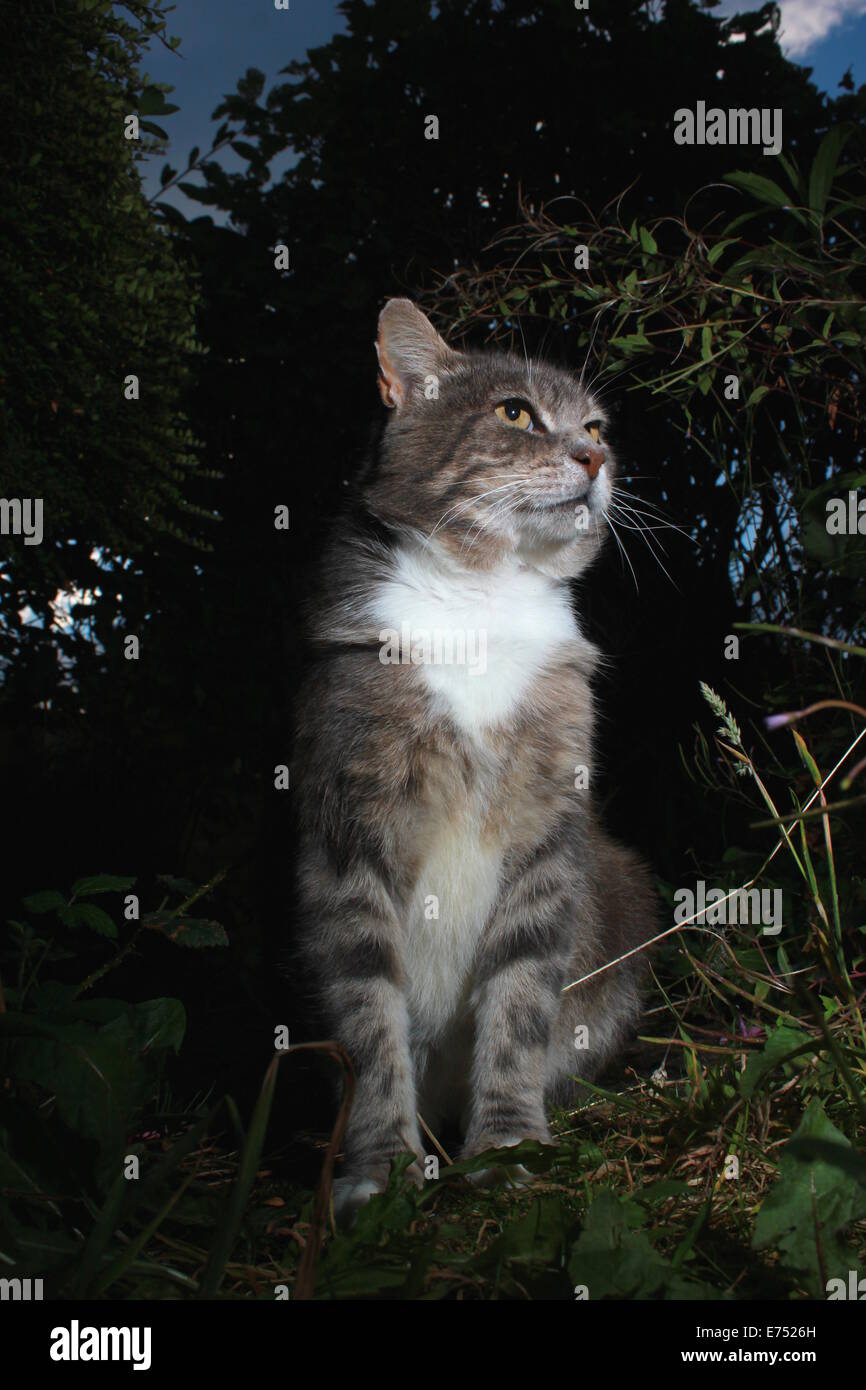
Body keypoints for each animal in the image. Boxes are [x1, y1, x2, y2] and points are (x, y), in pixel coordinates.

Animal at [294, 301, 653, 1217]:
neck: (481, 601)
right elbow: (370, 1018)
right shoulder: (350, 830)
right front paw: (379, 1172)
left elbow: (520, 1003)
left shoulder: (551, 832)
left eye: (596, 426)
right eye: (515, 413)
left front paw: (508, 1147)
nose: (596, 459)